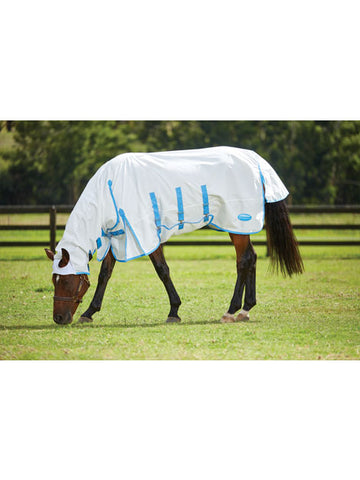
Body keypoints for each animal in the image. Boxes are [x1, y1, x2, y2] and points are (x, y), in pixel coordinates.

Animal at [45, 147, 304, 326]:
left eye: (66, 280)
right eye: (54, 280)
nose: (58, 318)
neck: (110, 189)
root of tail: (254, 160)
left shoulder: (145, 234)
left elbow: (162, 270)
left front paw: (174, 311)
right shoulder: (118, 235)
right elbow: (105, 275)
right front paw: (89, 313)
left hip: (236, 223)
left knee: (244, 260)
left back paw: (231, 311)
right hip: (239, 227)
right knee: (251, 258)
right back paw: (245, 310)